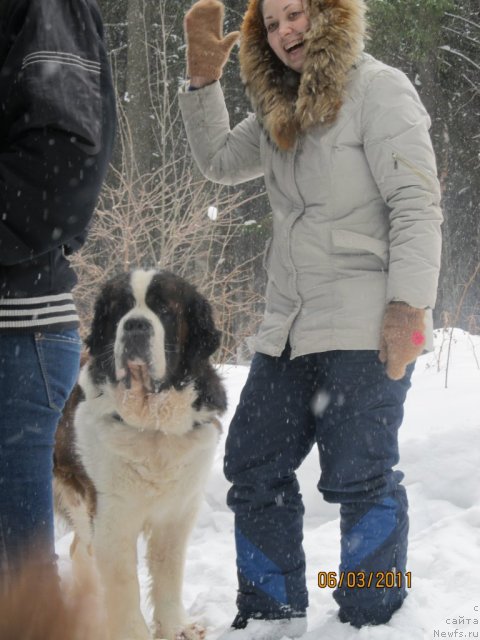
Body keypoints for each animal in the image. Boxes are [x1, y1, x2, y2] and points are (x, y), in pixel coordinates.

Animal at [55, 270, 228, 640]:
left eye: (163, 308)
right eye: (120, 309)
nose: (135, 325)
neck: (153, 425)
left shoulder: (177, 513)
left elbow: (168, 573)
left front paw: (176, 627)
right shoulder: (112, 516)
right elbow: (123, 587)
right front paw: (132, 633)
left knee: (80, 552)